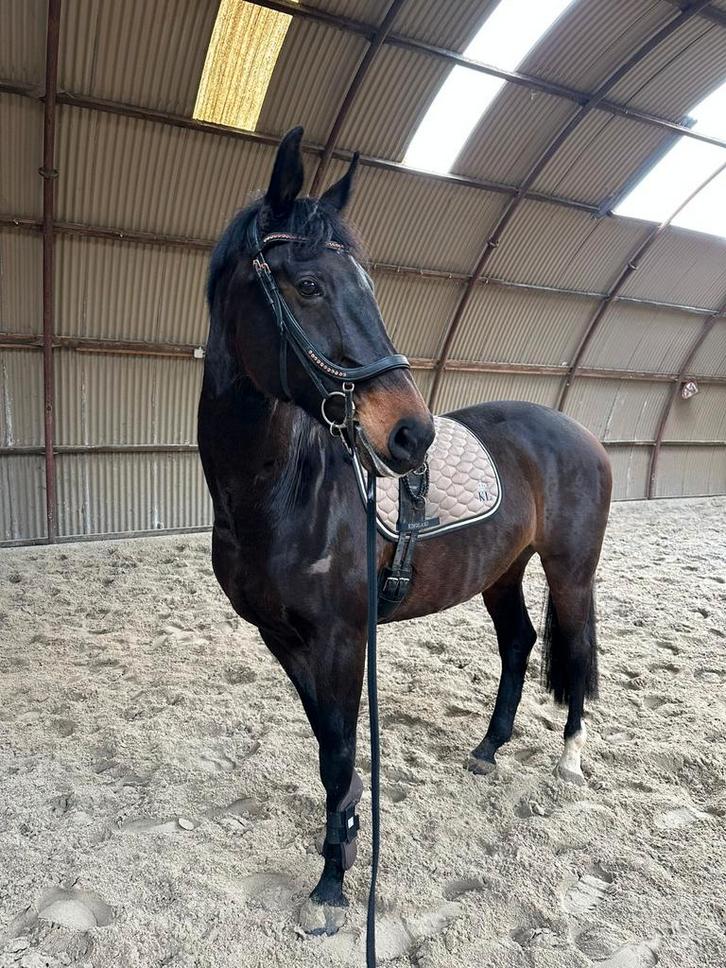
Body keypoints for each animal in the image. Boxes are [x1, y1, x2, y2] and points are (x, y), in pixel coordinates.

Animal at [198, 126, 612, 935]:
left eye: (367, 287)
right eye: (307, 286)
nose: (412, 435)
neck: (284, 494)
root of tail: (578, 430)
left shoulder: (342, 638)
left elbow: (338, 751)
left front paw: (332, 886)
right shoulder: (282, 637)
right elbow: (329, 743)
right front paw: (347, 840)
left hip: (569, 571)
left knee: (576, 650)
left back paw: (570, 760)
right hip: (502, 570)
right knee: (520, 641)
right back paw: (487, 749)